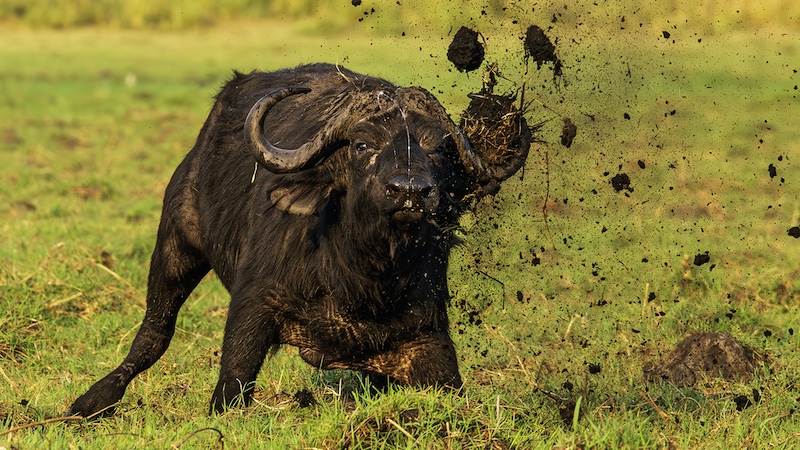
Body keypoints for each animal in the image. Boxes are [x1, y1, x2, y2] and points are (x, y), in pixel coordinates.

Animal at [67, 63, 529, 416]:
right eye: (362, 145)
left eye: (438, 149)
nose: (411, 192)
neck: (362, 277)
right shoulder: (253, 305)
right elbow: (231, 386)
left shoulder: (427, 334)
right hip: (175, 241)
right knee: (155, 331)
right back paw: (92, 401)